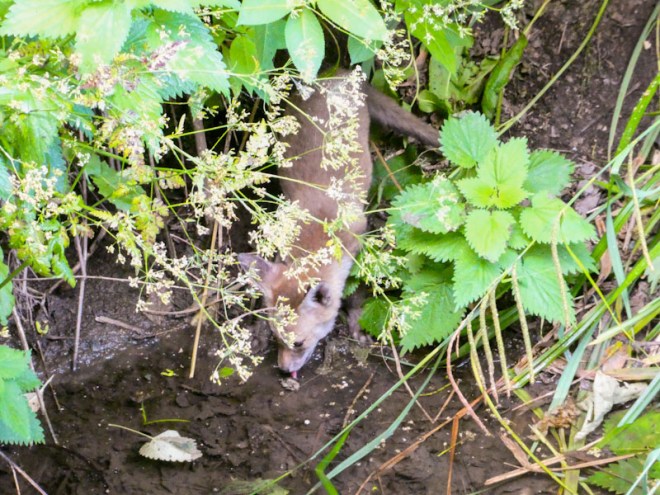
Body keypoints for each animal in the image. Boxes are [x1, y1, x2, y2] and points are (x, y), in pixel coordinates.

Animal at [239, 69, 439, 378]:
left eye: (298, 343)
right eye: (277, 338)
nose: (283, 370)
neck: (316, 231)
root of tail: (338, 75)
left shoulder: (359, 242)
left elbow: (357, 292)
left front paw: (356, 322)